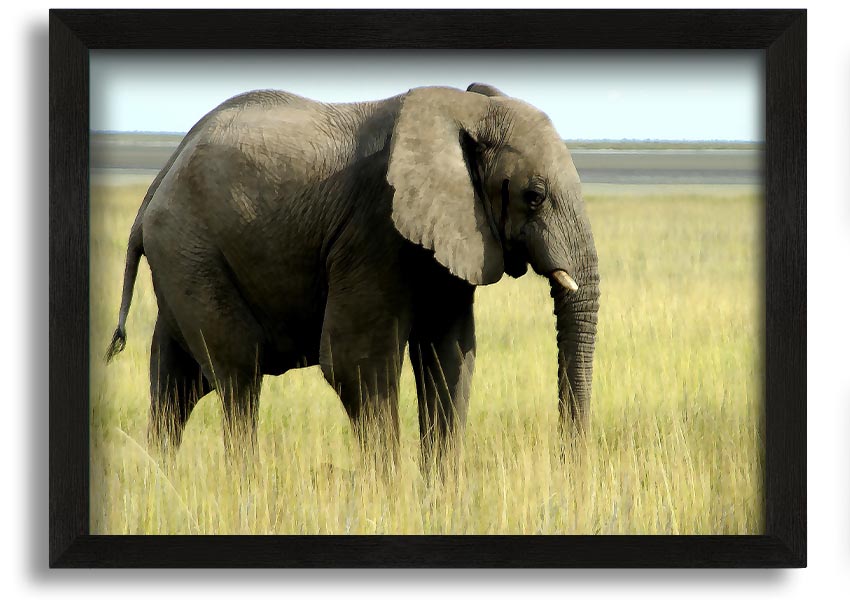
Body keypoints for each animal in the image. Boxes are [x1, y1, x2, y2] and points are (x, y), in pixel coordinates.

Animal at [104, 83, 596, 468]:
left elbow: (451, 355)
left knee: (176, 382)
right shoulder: (374, 227)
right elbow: (356, 363)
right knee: (238, 375)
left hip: (183, 260)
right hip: (191, 250)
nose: (567, 464)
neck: (464, 108)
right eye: (534, 196)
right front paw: (391, 499)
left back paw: (162, 481)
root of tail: (158, 181)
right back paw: (244, 486)